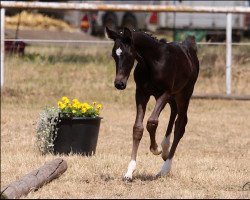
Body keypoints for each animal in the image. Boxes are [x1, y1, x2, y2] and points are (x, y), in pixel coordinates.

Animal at [106, 27, 200, 181]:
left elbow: (152, 122)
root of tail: (189, 48)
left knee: (180, 124)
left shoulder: (165, 92)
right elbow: (138, 128)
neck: (152, 62)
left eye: (128, 54)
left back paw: (165, 168)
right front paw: (129, 172)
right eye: (114, 55)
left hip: (183, 94)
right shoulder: (141, 93)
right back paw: (166, 149)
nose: (119, 84)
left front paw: (156, 149)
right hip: (169, 96)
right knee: (174, 111)